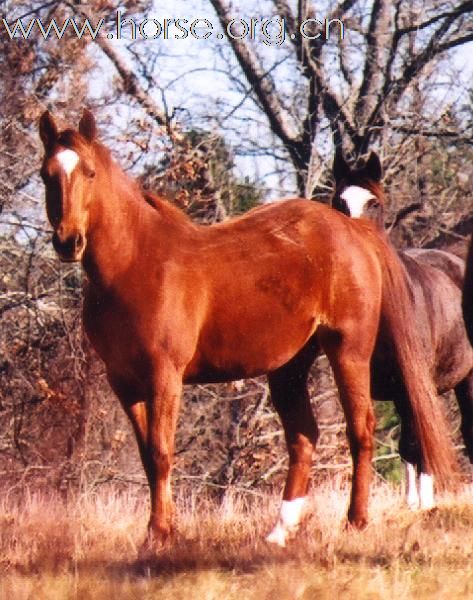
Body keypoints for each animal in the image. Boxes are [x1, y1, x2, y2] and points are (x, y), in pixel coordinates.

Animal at [39, 110, 458, 552]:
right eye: (47, 174)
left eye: (89, 172)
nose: (68, 241)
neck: (135, 263)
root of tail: (355, 232)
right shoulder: (125, 383)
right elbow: (147, 456)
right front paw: (160, 530)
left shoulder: (164, 376)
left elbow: (161, 452)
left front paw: (161, 534)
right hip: (290, 366)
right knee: (304, 438)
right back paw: (280, 531)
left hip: (348, 351)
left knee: (360, 429)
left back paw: (355, 521)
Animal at [332, 152, 472, 508]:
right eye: (339, 201)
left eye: (374, 203)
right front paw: (409, 503)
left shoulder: (412, 386)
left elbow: (415, 440)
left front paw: (423, 504)